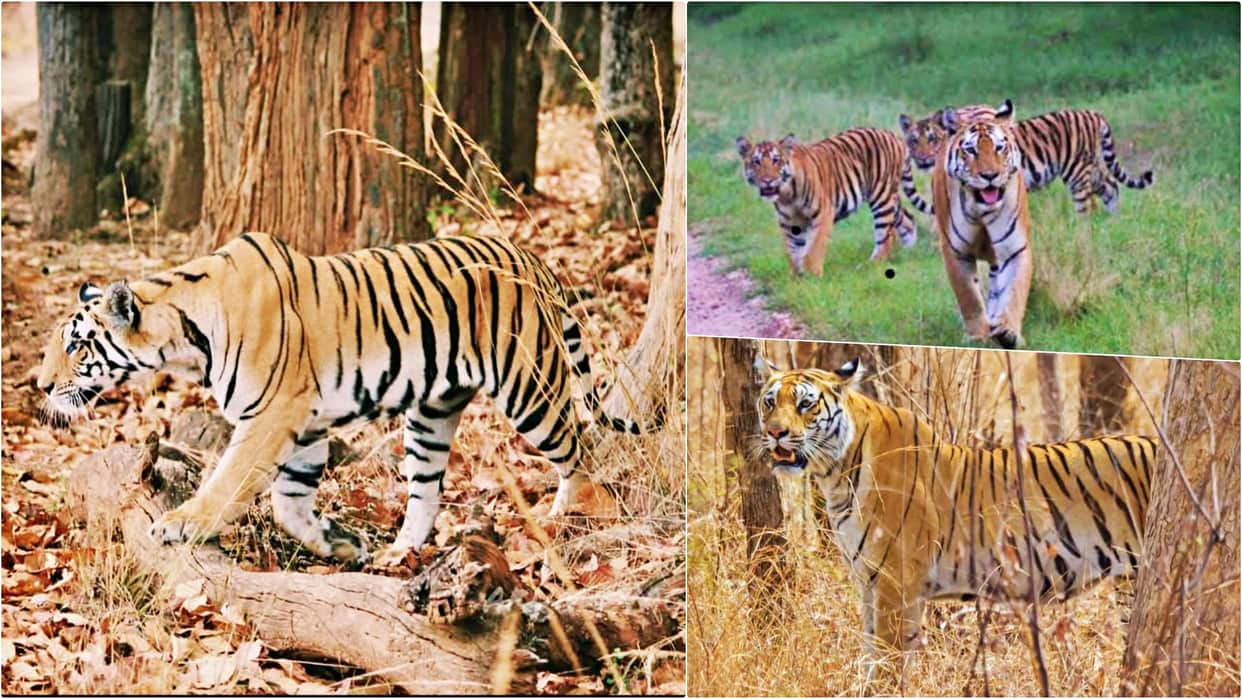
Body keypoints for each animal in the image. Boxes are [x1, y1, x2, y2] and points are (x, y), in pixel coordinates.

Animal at [36, 232, 663, 566]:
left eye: (75, 345)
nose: (40, 386)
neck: (186, 335)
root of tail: (531, 257)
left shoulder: (270, 417)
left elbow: (227, 481)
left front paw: (181, 523)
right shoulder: (304, 426)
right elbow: (289, 505)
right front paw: (339, 543)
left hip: (530, 389)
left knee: (580, 450)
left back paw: (574, 517)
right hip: (431, 415)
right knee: (426, 493)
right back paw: (396, 553)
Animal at [736, 128, 933, 276]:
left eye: (776, 160)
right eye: (756, 162)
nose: (768, 180)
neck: (786, 194)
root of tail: (894, 136)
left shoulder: (823, 213)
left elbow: (813, 249)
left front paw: (813, 276)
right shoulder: (789, 223)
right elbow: (793, 252)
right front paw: (796, 279)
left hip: (881, 197)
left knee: (885, 235)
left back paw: (870, 265)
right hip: (891, 198)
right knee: (908, 218)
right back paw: (908, 251)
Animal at [757, 358, 1154, 680]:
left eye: (806, 404)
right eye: (770, 401)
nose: (775, 433)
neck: (837, 474)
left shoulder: (895, 583)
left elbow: (886, 664)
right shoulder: (868, 582)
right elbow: (871, 655)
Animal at [901, 104, 1154, 213]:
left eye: (932, 139)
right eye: (914, 141)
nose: (922, 158)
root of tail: (1093, 114)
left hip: (1077, 171)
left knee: (1086, 203)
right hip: (1092, 167)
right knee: (1111, 187)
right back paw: (1112, 221)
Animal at [932, 98, 1033, 349]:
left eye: (999, 147)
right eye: (970, 150)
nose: (990, 175)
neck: (981, 210)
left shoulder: (1014, 249)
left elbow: (1013, 291)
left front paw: (1009, 332)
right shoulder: (955, 251)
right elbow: (968, 296)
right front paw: (978, 336)